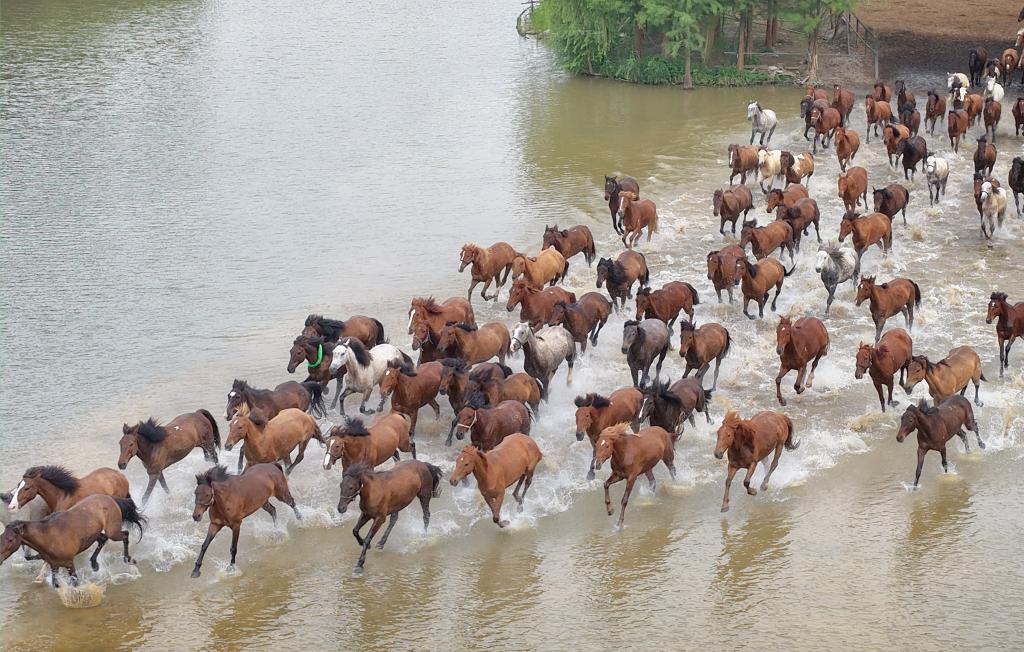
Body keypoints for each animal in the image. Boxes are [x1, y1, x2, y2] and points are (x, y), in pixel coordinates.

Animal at [0, 495, 144, 588]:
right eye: (1, 537)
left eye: (11, 539)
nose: (0, 558)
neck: (48, 536)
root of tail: (111, 498)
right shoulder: (54, 565)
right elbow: (56, 584)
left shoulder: (69, 563)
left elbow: (75, 583)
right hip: (95, 533)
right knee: (103, 539)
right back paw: (94, 564)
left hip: (113, 531)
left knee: (125, 535)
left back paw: (128, 559)